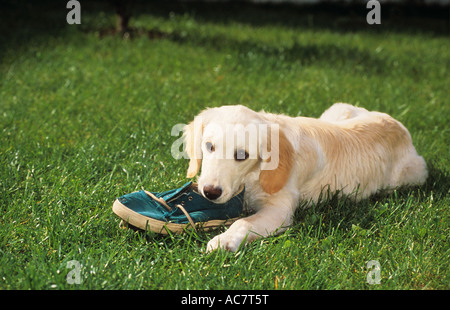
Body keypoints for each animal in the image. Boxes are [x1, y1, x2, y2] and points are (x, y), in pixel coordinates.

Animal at [182, 104, 426, 252]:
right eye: (209, 146)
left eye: (242, 155)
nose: (210, 192)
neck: (253, 177)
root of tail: (397, 124)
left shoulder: (280, 210)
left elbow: (243, 222)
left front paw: (224, 240)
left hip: (413, 175)